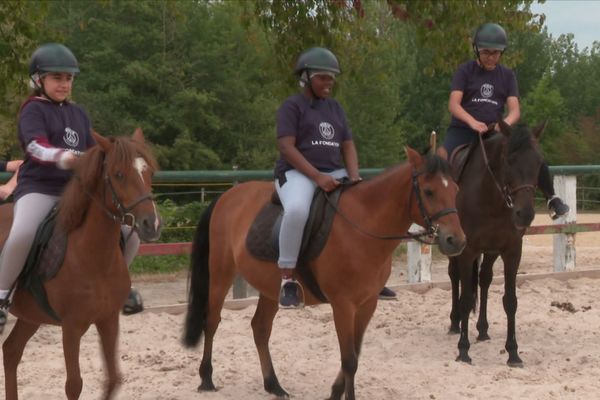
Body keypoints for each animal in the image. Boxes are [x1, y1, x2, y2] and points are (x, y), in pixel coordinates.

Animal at [1, 130, 162, 398]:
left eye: (148, 172)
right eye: (118, 174)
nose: (152, 224)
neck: (93, 256)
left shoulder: (108, 319)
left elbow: (113, 379)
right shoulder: (71, 327)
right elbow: (74, 385)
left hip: (31, 316)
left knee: (11, 351)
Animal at [185, 147, 466, 400]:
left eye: (455, 190)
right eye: (429, 191)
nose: (456, 241)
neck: (362, 227)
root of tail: (227, 195)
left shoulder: (367, 304)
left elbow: (355, 353)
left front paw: (334, 392)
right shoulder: (343, 305)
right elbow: (349, 359)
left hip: (270, 287)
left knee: (260, 328)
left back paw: (274, 385)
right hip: (220, 274)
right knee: (212, 321)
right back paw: (206, 378)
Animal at [448, 120, 548, 368]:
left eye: (538, 161)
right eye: (509, 160)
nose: (525, 214)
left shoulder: (512, 251)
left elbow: (510, 301)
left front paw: (513, 353)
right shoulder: (467, 251)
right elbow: (466, 299)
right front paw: (463, 350)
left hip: (491, 250)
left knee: (484, 278)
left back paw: (483, 330)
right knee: (454, 277)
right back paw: (455, 323)